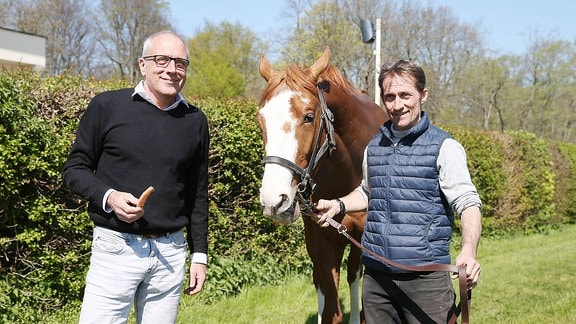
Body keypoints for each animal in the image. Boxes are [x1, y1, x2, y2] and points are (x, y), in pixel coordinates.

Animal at [256, 46, 388, 324]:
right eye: (260, 121)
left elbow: (356, 283)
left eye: (308, 117)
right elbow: (330, 307)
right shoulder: (322, 238)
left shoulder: (362, 239)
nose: (274, 201)